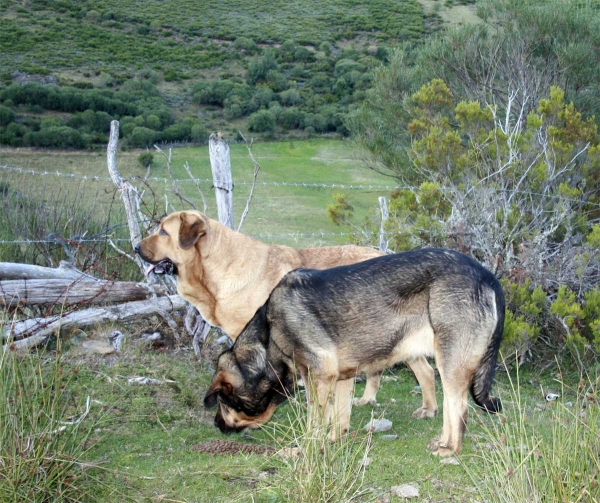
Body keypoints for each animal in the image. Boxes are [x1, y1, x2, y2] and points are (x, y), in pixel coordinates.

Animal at [204, 250, 504, 458]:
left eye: (223, 403)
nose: (216, 425)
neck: (268, 339)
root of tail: (486, 274)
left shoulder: (318, 376)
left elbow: (315, 423)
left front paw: (305, 449)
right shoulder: (341, 378)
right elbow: (339, 418)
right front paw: (334, 441)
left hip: (450, 363)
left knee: (459, 409)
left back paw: (450, 448)